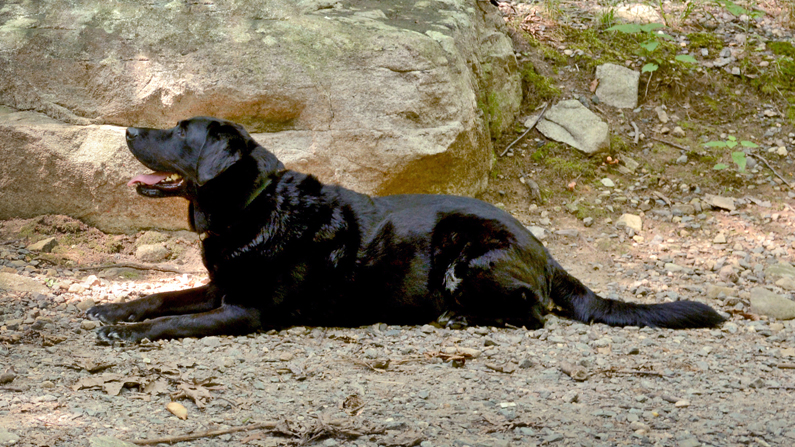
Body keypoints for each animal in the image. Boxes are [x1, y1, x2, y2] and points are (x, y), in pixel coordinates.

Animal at [85, 117, 720, 342]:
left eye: (179, 133)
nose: (128, 130)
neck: (255, 206)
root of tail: (544, 251)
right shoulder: (220, 288)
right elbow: (161, 297)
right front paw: (115, 310)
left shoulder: (245, 310)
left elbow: (175, 322)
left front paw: (129, 334)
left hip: (469, 257)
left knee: (534, 311)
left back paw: (462, 318)